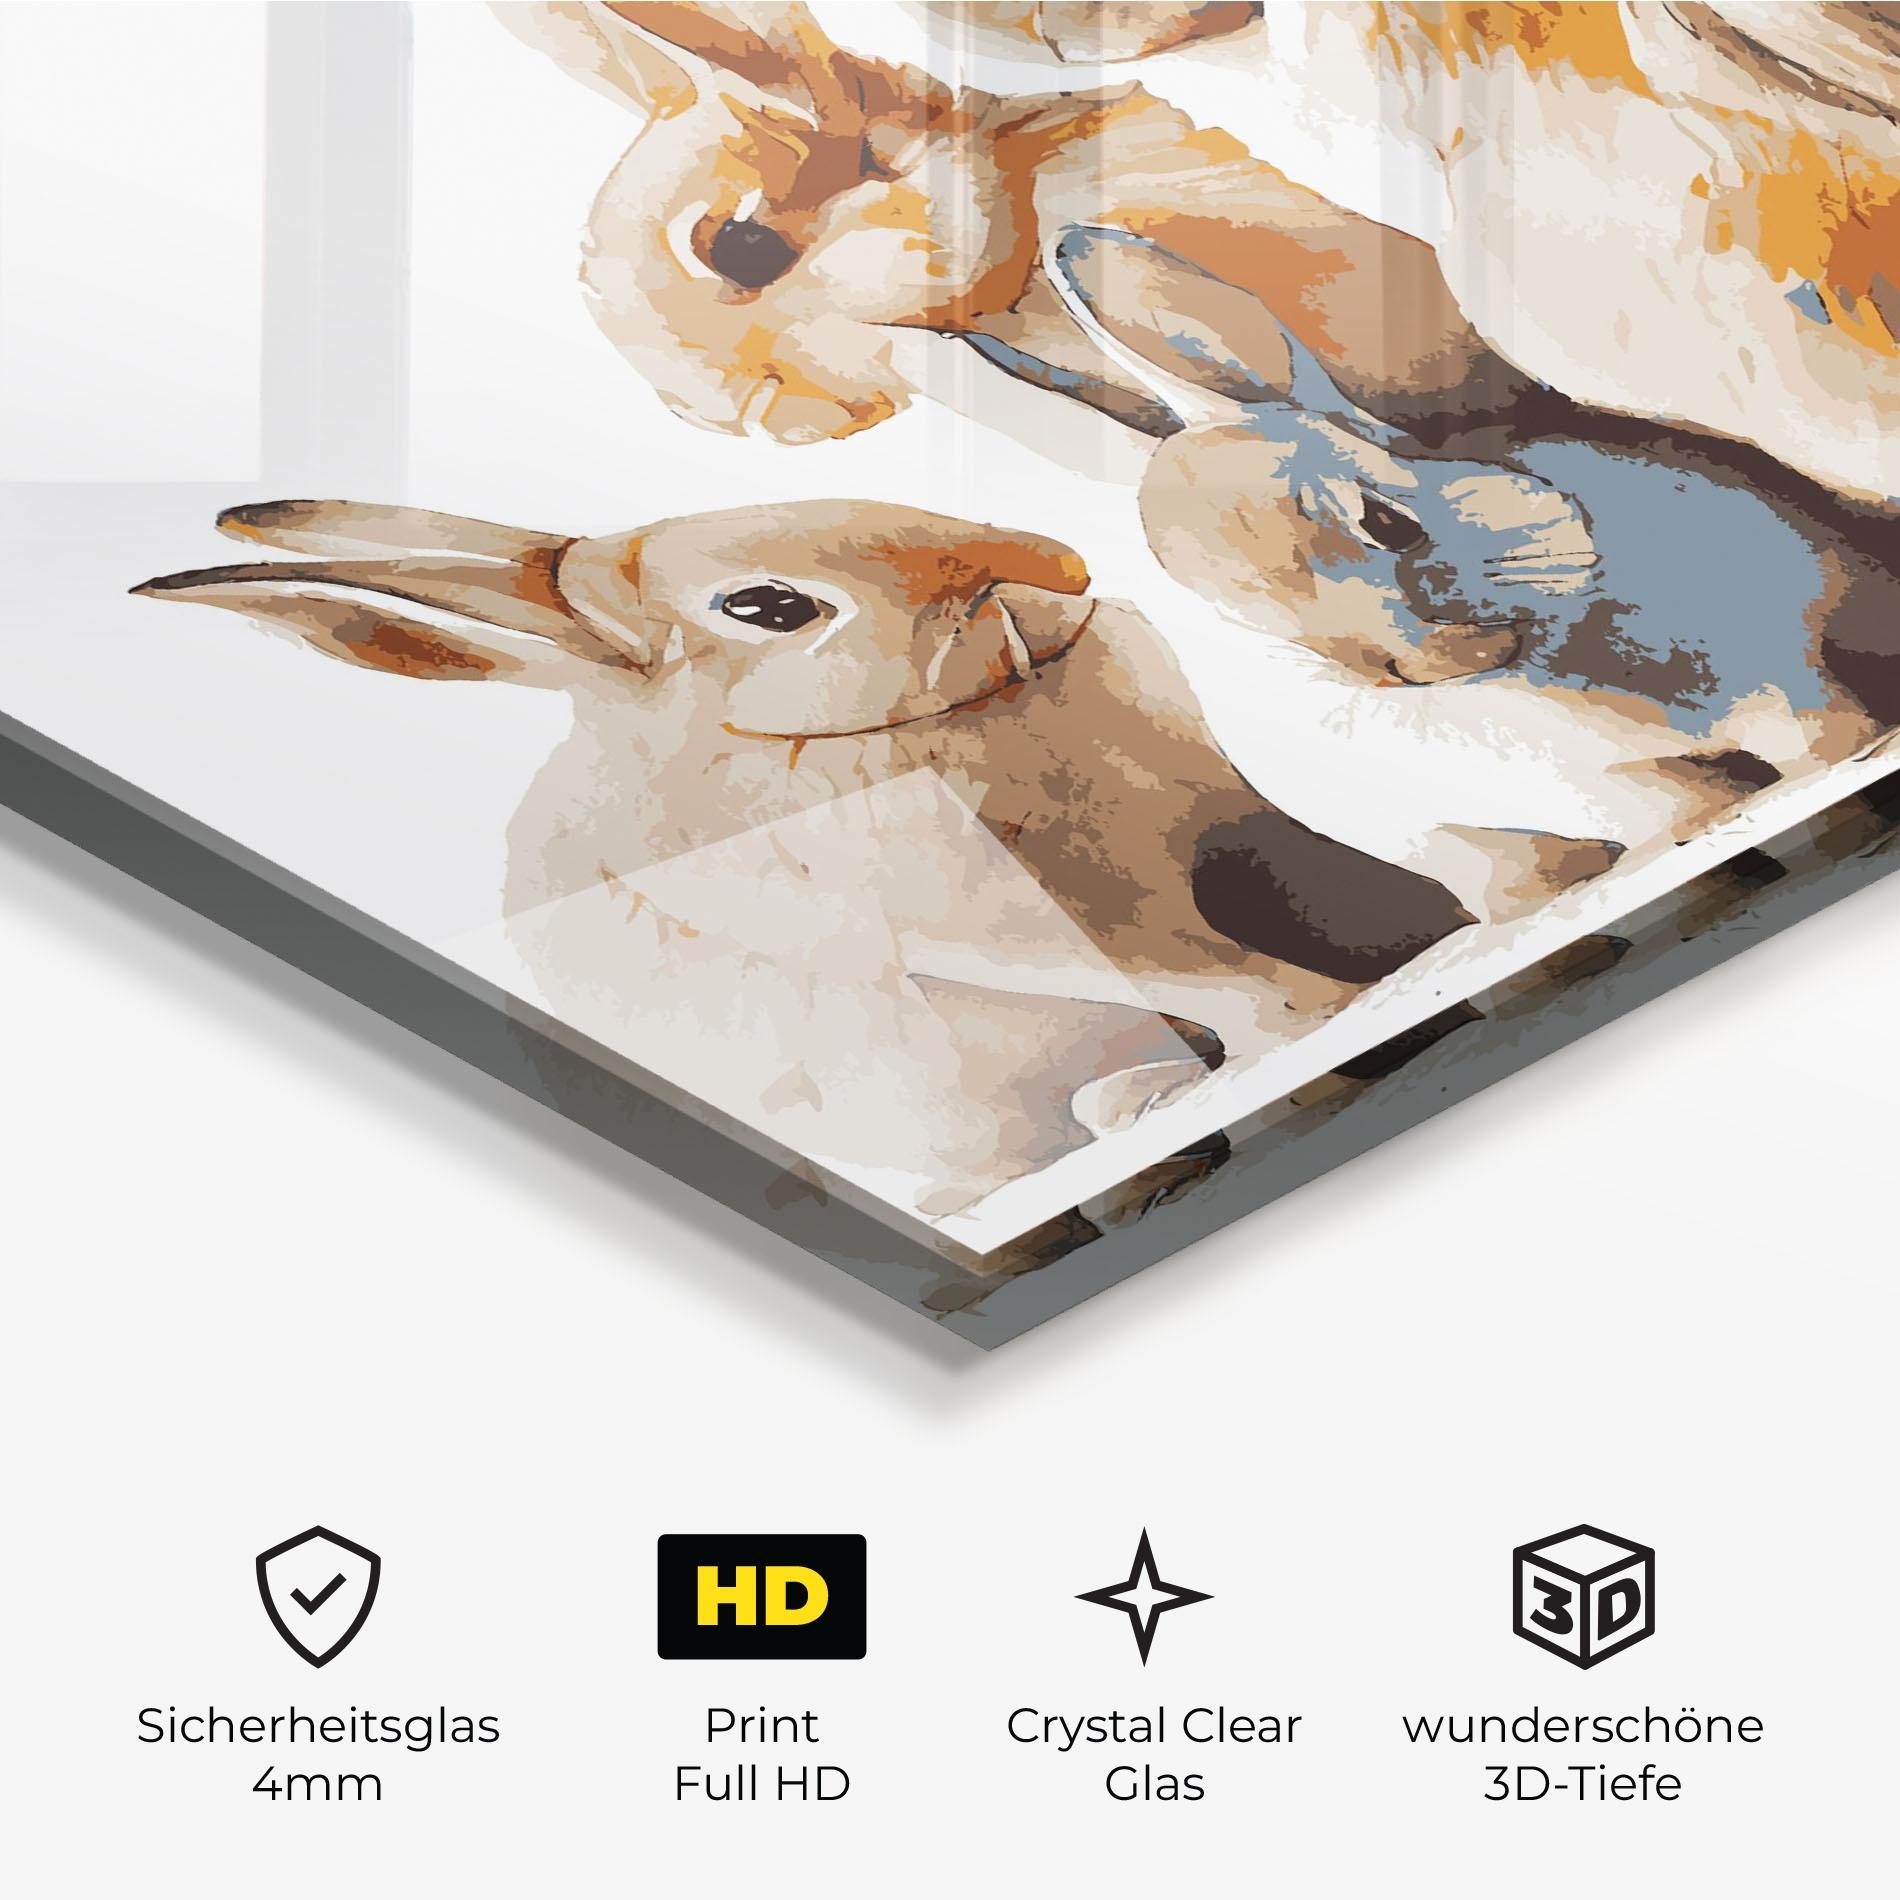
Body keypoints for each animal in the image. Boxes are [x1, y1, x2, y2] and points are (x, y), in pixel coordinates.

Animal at [1043, 225, 1900, 919]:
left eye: (1384, 521)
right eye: (1289, 643)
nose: (1417, 668)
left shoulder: (1783, 665)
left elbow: (1821, 731)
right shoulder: (1610, 785)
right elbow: (1686, 800)